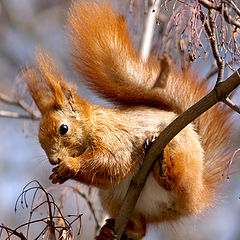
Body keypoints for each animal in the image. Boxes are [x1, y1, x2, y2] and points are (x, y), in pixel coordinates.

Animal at [22, 0, 232, 239]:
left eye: (63, 128)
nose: (54, 160)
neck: (93, 125)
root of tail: (197, 196)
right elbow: (107, 174)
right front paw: (61, 172)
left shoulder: (113, 136)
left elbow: (113, 161)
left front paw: (70, 165)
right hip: (114, 199)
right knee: (140, 230)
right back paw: (111, 230)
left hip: (181, 153)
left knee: (175, 182)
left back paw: (163, 167)